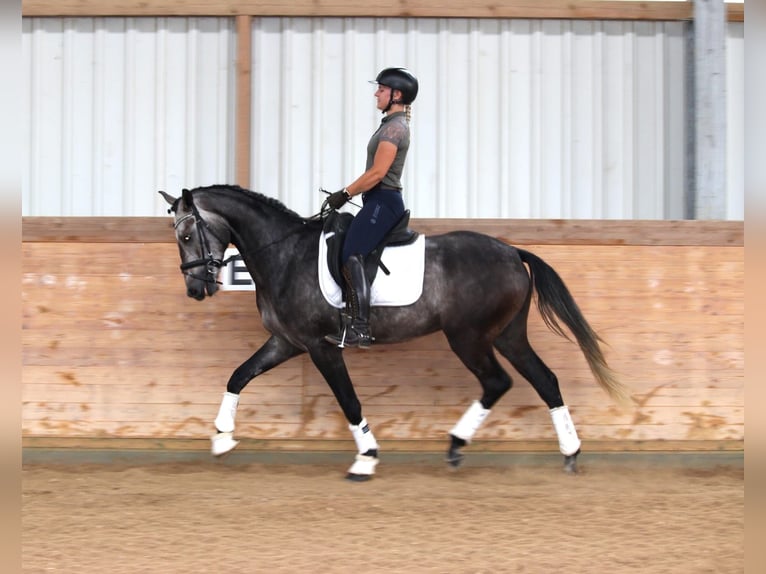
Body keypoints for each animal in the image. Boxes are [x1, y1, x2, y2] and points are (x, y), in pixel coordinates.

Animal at [159, 186, 632, 482]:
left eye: (188, 233)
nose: (196, 289)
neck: (285, 254)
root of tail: (513, 252)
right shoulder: (286, 343)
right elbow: (238, 376)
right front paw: (222, 439)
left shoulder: (320, 347)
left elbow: (349, 401)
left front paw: (365, 460)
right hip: (507, 336)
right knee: (544, 380)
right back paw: (568, 453)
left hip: (469, 337)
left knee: (498, 381)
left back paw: (458, 444)